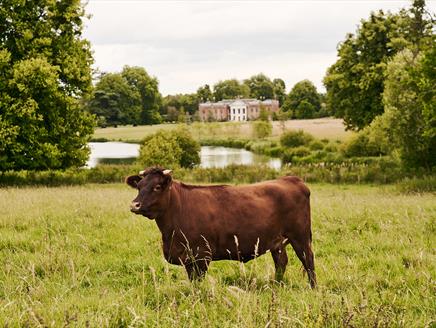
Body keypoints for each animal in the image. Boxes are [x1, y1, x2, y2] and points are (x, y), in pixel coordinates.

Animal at [126, 167, 316, 288]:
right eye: (139, 187)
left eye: (157, 187)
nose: (134, 205)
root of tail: (292, 179)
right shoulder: (187, 257)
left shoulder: (202, 255)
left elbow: (198, 283)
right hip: (277, 241)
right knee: (281, 262)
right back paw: (276, 286)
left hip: (300, 237)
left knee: (308, 261)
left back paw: (313, 288)